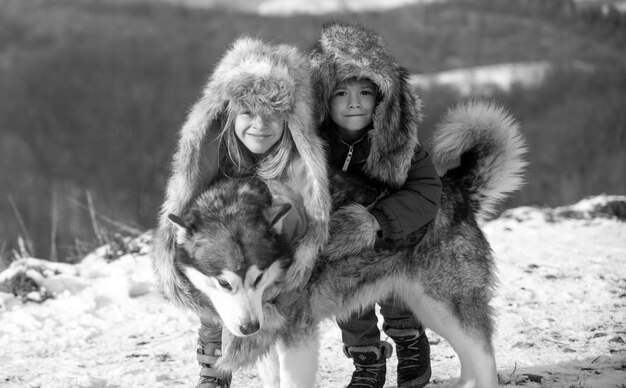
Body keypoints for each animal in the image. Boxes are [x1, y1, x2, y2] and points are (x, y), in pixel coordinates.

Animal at [168, 101, 524, 388]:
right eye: (223, 283)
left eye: (257, 277)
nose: (248, 326)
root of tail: (454, 188)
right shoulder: (269, 331)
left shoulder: (296, 333)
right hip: (430, 307)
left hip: (450, 305)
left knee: (484, 357)